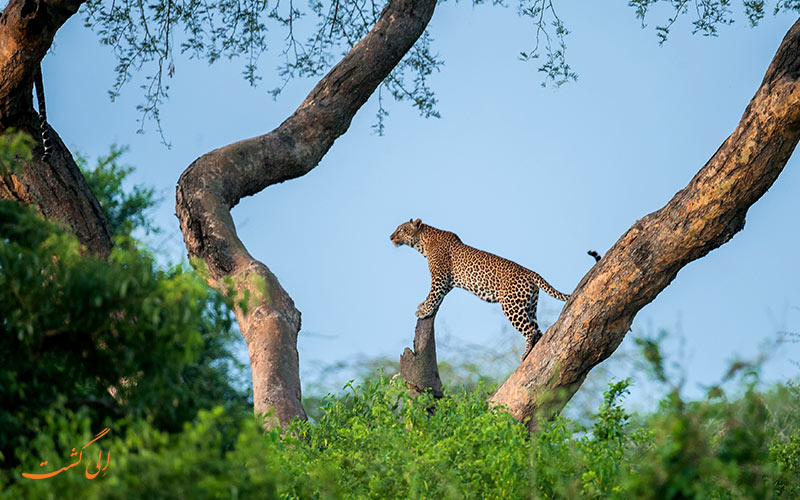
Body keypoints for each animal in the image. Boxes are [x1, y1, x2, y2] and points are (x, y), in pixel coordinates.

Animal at [390, 219, 596, 360]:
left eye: (401, 229)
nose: (391, 237)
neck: (423, 242)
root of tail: (530, 272)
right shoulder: (448, 282)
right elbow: (434, 296)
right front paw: (423, 306)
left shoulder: (440, 277)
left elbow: (434, 295)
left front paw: (424, 310)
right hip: (529, 306)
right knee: (538, 331)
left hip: (511, 306)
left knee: (530, 330)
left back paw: (525, 354)